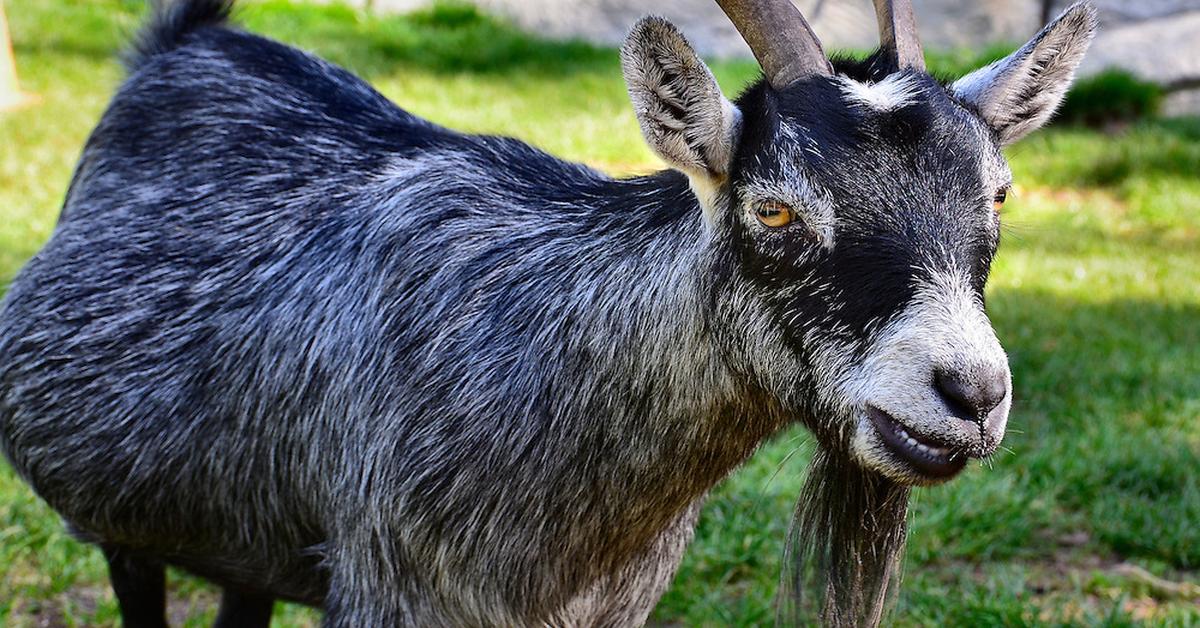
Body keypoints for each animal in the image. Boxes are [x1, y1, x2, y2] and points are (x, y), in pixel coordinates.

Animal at [0, 0, 1099, 624]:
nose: (969, 393)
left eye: (999, 194)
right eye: (776, 208)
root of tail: (180, 45)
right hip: (130, 526)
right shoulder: (397, 592)